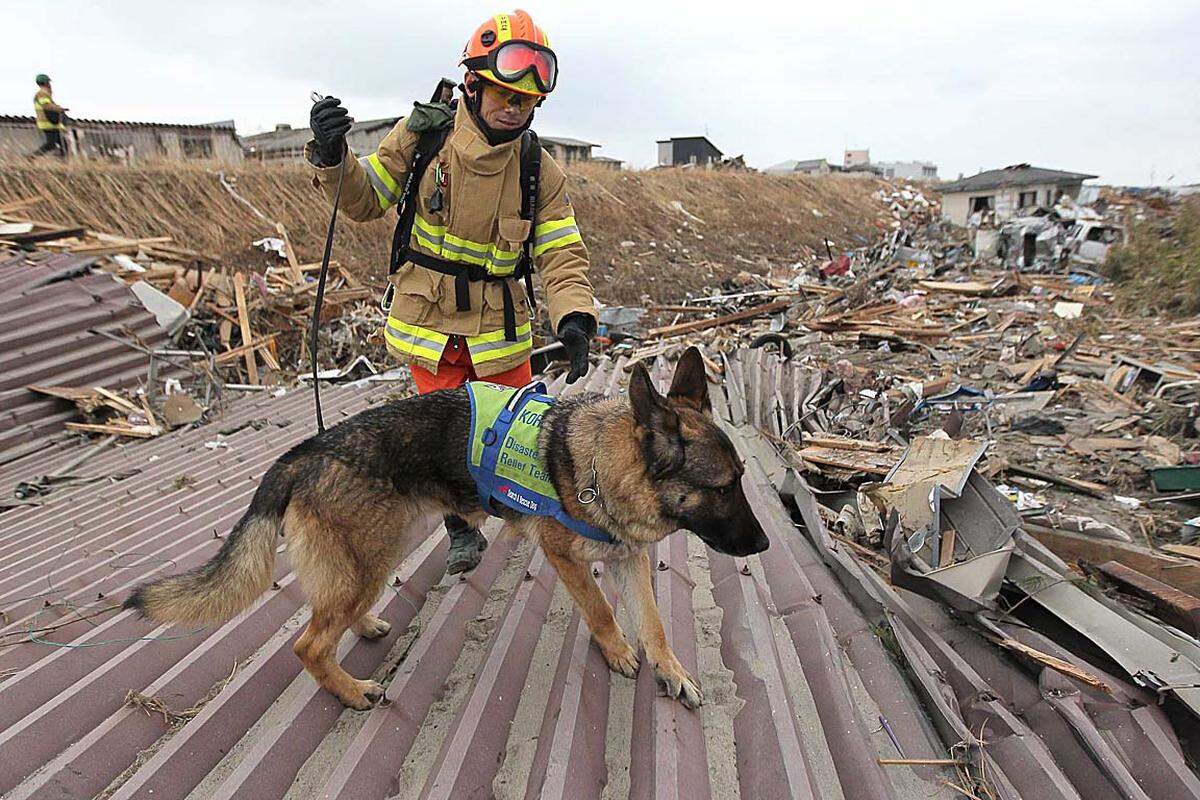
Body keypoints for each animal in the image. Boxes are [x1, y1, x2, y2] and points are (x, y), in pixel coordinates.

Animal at [126, 347, 768, 710]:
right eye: (721, 488)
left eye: (741, 478)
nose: (763, 544)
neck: (595, 467)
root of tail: (302, 453)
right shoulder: (567, 559)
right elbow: (604, 612)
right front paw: (617, 654)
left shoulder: (629, 559)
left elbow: (655, 625)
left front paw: (673, 672)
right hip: (370, 557)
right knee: (308, 644)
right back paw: (352, 692)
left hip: (377, 552)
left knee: (331, 615)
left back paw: (365, 627)